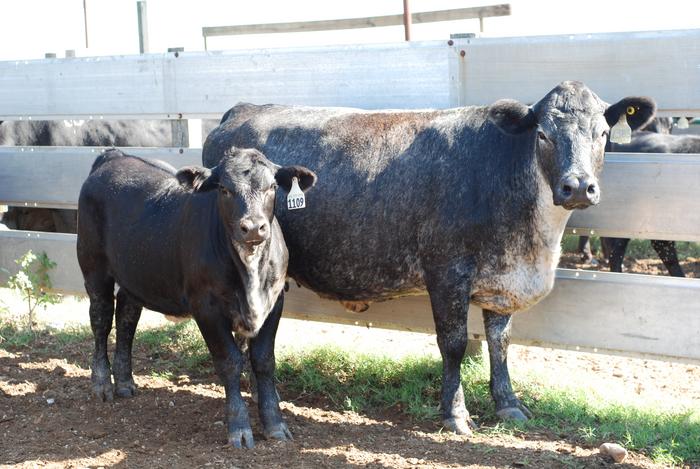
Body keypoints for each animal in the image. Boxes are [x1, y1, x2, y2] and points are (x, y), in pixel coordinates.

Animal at [77, 148, 316, 448]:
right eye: (224, 189)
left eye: (272, 186)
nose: (253, 228)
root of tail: (115, 155)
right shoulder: (206, 308)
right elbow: (229, 362)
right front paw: (239, 428)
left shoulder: (274, 303)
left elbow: (263, 361)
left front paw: (275, 425)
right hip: (93, 267)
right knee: (101, 319)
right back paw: (102, 384)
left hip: (137, 275)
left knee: (126, 319)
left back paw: (124, 382)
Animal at [201, 81, 655, 434]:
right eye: (543, 134)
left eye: (602, 133)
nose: (577, 187)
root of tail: (242, 109)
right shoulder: (447, 272)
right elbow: (453, 344)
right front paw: (455, 414)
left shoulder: (502, 278)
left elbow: (500, 342)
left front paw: (508, 404)